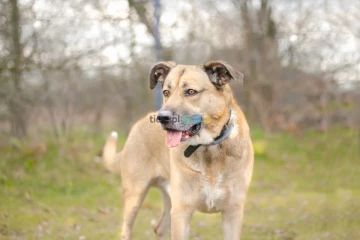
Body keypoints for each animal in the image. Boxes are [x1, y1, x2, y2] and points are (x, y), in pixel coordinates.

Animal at [102, 61, 255, 239]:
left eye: (191, 92)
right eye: (166, 92)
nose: (162, 118)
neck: (209, 147)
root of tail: (138, 124)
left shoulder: (233, 212)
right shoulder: (182, 212)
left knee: (159, 228)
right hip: (135, 196)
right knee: (126, 230)